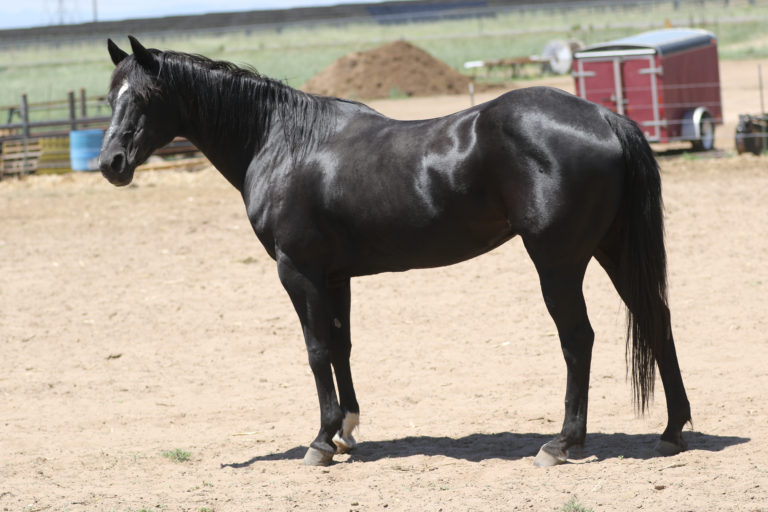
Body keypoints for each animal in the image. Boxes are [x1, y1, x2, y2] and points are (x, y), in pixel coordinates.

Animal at [98, 36, 691, 467]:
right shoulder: (335, 277)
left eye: (144, 97)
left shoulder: (298, 271)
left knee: (578, 339)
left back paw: (562, 443)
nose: (111, 164)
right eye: (110, 96)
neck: (285, 143)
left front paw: (320, 442)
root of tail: (603, 117)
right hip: (612, 251)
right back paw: (671, 430)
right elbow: (342, 346)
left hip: (558, 262)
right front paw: (346, 431)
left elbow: (316, 350)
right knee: (656, 319)